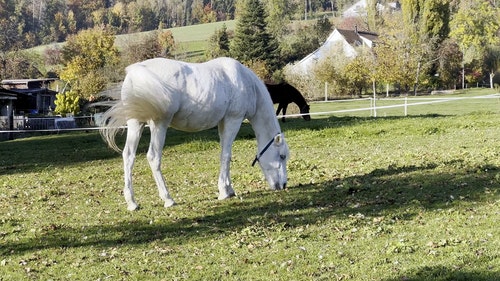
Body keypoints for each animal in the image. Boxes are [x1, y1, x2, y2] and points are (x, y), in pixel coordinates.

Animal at [100, 57, 290, 210]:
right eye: (281, 156)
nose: (283, 184)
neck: (246, 83)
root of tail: (136, 73)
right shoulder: (232, 120)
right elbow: (226, 155)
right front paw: (224, 192)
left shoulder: (222, 123)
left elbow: (224, 154)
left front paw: (229, 188)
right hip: (158, 124)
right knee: (153, 157)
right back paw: (168, 199)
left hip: (135, 124)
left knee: (129, 156)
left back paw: (132, 203)